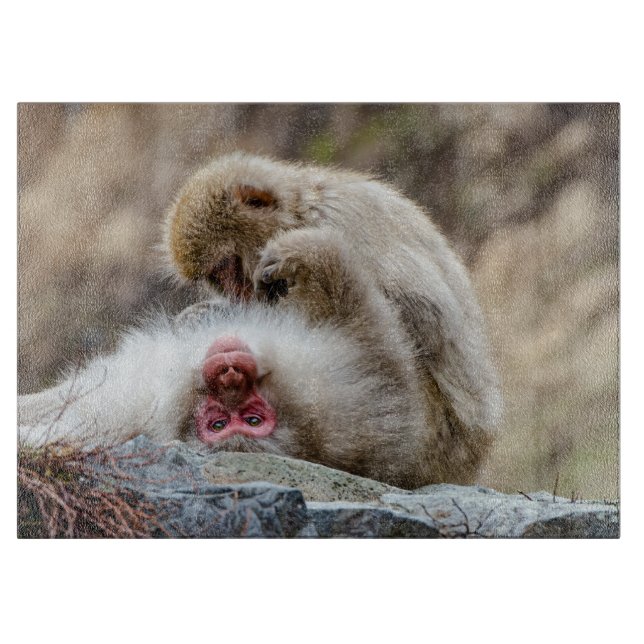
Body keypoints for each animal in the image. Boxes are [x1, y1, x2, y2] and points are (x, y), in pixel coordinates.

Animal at [164, 152, 502, 483]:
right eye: (216, 278)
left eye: (228, 267)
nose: (237, 293)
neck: (300, 212)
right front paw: (206, 315)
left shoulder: (340, 221)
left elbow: (425, 318)